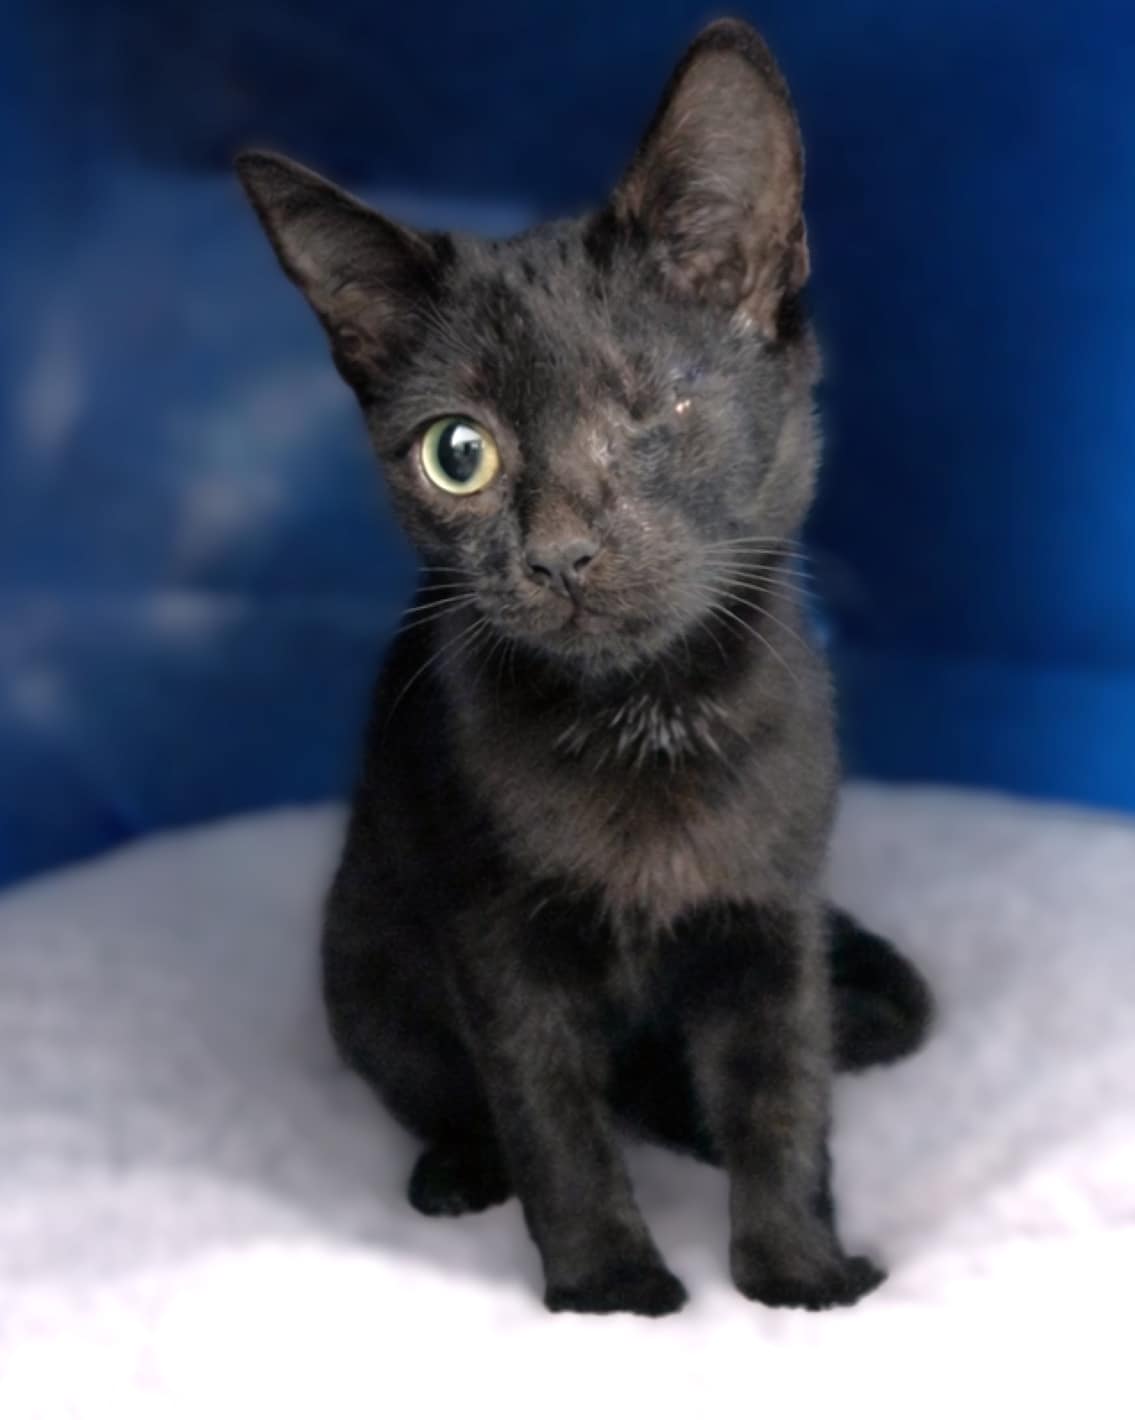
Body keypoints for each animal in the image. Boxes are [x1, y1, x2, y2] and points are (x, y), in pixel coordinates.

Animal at [237, 17, 933, 1316]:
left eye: (656, 407)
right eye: (457, 453)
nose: (558, 551)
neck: (643, 721)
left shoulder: (775, 919)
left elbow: (783, 1095)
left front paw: (800, 1274)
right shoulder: (495, 939)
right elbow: (552, 1117)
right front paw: (611, 1288)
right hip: (363, 962)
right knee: (453, 1092)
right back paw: (459, 1167)